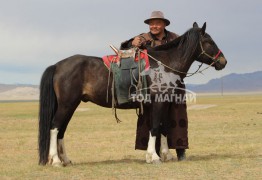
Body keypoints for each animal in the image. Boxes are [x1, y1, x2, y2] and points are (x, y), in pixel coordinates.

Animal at [38, 22, 227, 166]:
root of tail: (58, 65)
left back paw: (65, 160)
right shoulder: (158, 103)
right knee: (54, 127)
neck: (164, 64)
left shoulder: (161, 103)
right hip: (67, 104)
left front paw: (166, 154)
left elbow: (163, 127)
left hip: (71, 105)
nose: (223, 61)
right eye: (209, 41)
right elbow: (155, 127)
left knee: (61, 130)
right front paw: (154, 157)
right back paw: (55, 160)